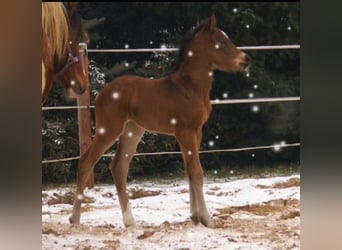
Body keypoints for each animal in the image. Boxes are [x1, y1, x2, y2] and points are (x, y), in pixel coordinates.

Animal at [70, 15, 248, 229]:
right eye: (220, 42)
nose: (245, 59)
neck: (189, 87)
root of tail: (101, 93)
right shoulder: (185, 132)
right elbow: (196, 172)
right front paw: (207, 219)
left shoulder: (197, 131)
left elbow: (189, 171)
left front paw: (195, 217)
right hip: (109, 130)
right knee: (86, 162)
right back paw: (75, 219)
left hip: (132, 131)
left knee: (119, 167)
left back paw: (130, 221)